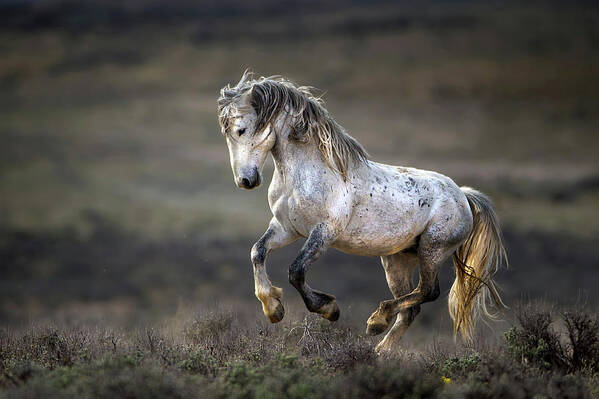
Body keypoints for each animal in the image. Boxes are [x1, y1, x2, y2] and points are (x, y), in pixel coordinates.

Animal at [216, 72, 506, 354]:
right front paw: (273, 309)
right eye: (227, 134)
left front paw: (329, 309)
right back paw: (380, 350)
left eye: (241, 129)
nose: (245, 180)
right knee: (411, 308)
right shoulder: (286, 228)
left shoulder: (324, 232)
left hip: (432, 250)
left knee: (428, 291)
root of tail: (463, 196)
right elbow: (257, 252)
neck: (304, 174)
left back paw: (377, 320)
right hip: (398, 259)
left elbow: (296, 271)